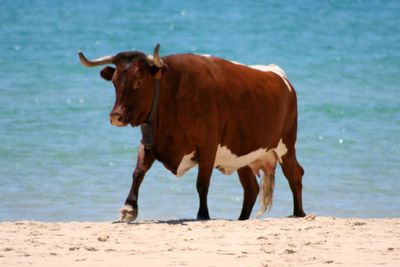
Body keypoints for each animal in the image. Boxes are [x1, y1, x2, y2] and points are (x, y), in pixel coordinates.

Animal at [78, 44, 306, 223]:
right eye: (115, 82)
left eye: (138, 81)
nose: (116, 116)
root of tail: (279, 75)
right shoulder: (149, 141)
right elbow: (138, 172)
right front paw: (129, 208)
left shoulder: (208, 146)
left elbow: (202, 183)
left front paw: (203, 213)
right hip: (243, 156)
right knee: (251, 188)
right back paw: (241, 219)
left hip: (286, 145)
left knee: (295, 174)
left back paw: (299, 213)